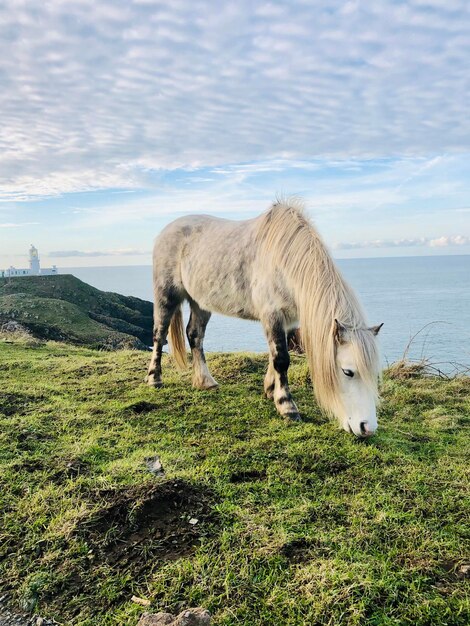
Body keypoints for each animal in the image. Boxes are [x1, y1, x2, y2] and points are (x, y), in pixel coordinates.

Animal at [147, 199, 382, 434]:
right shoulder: (272, 315)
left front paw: (270, 390)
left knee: (195, 335)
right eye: (348, 372)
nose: (367, 428)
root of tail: (167, 230)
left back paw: (206, 381)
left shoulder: (287, 320)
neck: (283, 262)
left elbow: (275, 355)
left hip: (200, 301)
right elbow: (281, 359)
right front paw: (287, 406)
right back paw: (155, 379)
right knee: (160, 334)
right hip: (166, 294)